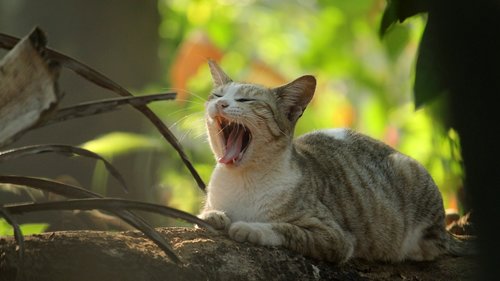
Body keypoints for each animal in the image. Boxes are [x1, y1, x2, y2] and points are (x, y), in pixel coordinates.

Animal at [198, 59, 468, 262]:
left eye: (246, 100)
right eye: (217, 95)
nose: (221, 103)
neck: (242, 180)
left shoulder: (334, 236)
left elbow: (286, 229)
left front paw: (250, 227)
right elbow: (208, 213)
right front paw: (212, 216)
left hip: (410, 176)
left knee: (430, 247)